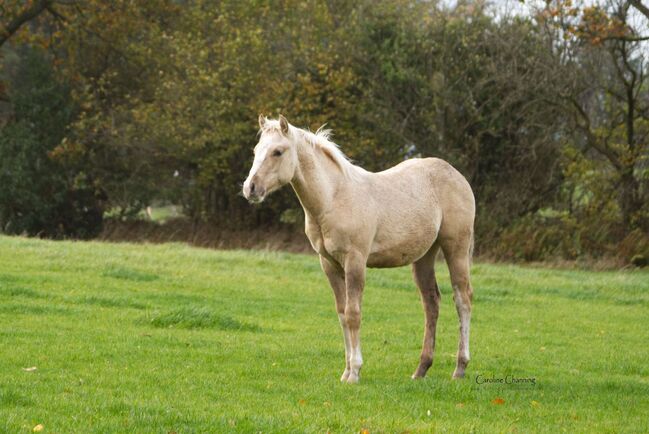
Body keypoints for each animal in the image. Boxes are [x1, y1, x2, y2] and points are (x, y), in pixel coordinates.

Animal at [243, 114, 476, 384]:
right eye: (256, 150)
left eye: (278, 152)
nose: (250, 188)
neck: (333, 198)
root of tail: (457, 176)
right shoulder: (329, 264)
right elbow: (342, 314)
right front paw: (345, 372)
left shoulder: (354, 260)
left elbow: (354, 313)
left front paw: (355, 372)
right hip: (425, 256)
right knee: (431, 303)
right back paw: (421, 369)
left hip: (456, 247)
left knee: (462, 300)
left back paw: (460, 368)